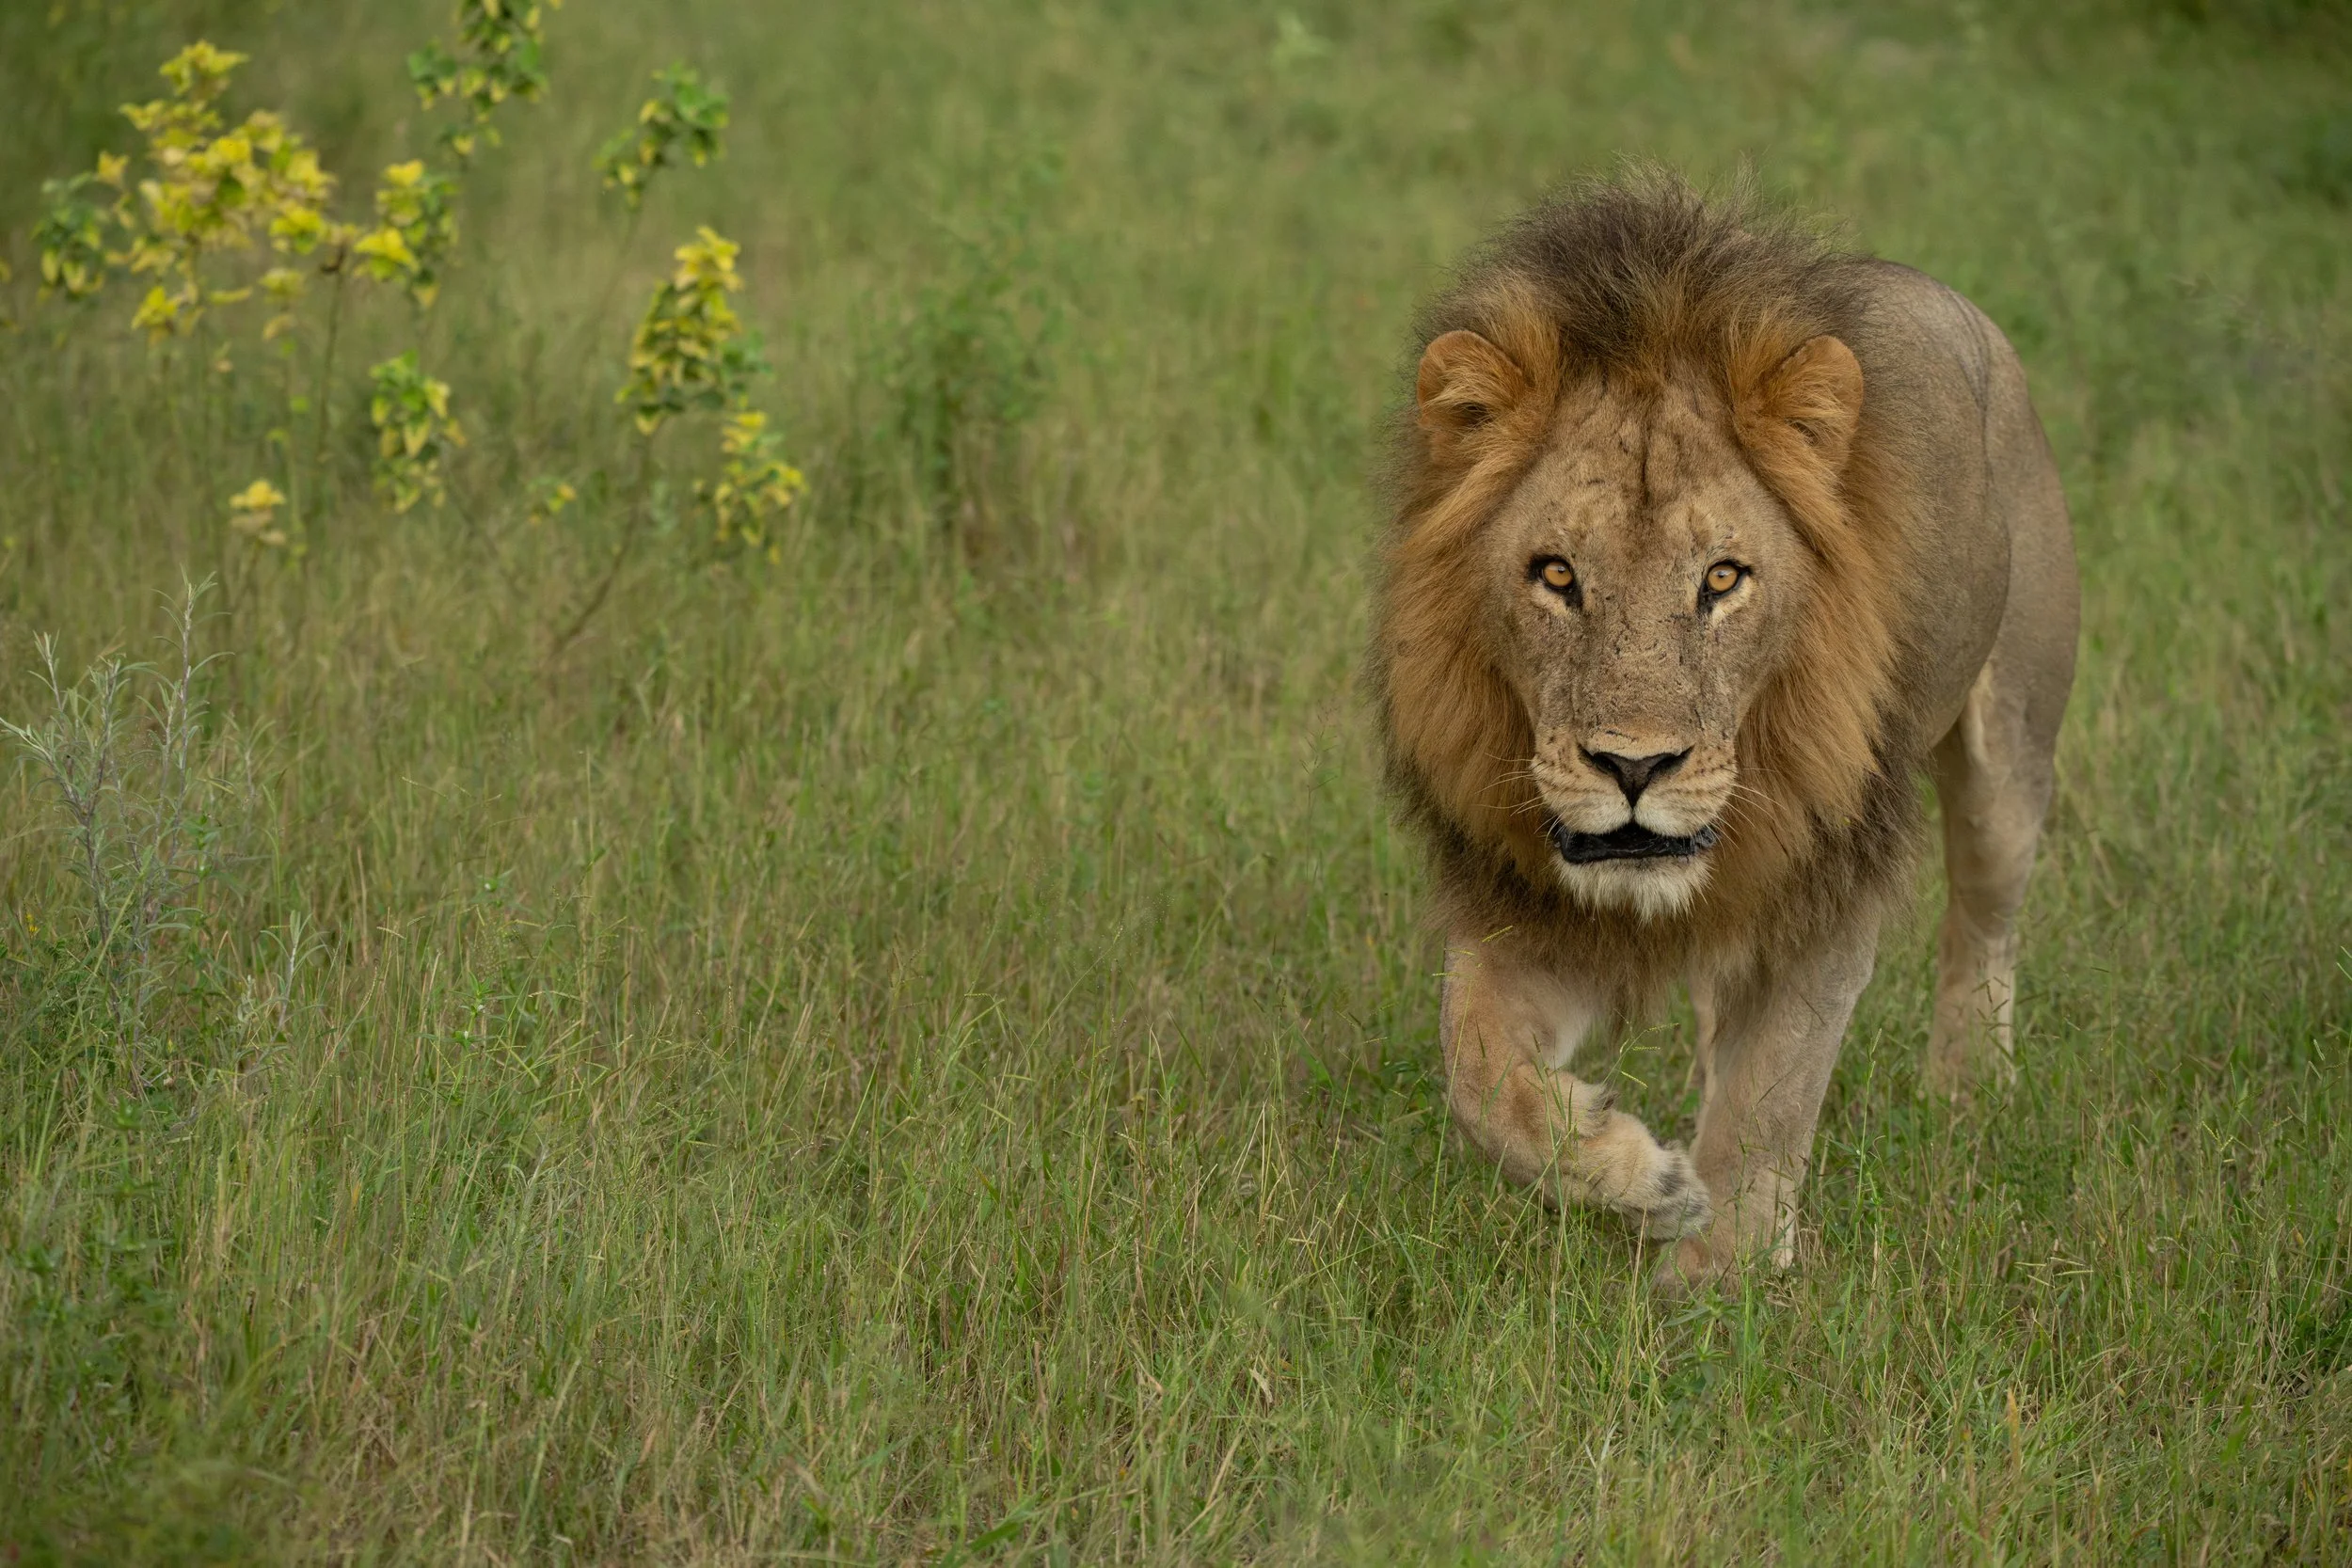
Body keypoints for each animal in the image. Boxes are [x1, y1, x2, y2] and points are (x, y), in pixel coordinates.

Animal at [1369, 176, 2078, 1290]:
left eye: (1723, 578)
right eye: (1556, 574)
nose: (1635, 766)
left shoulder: (1827, 890)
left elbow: (1771, 1094)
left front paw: (1716, 1281)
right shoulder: (1524, 903)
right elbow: (1476, 1075)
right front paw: (1640, 1178)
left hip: (2012, 755)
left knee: (1983, 927)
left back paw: (1968, 1097)